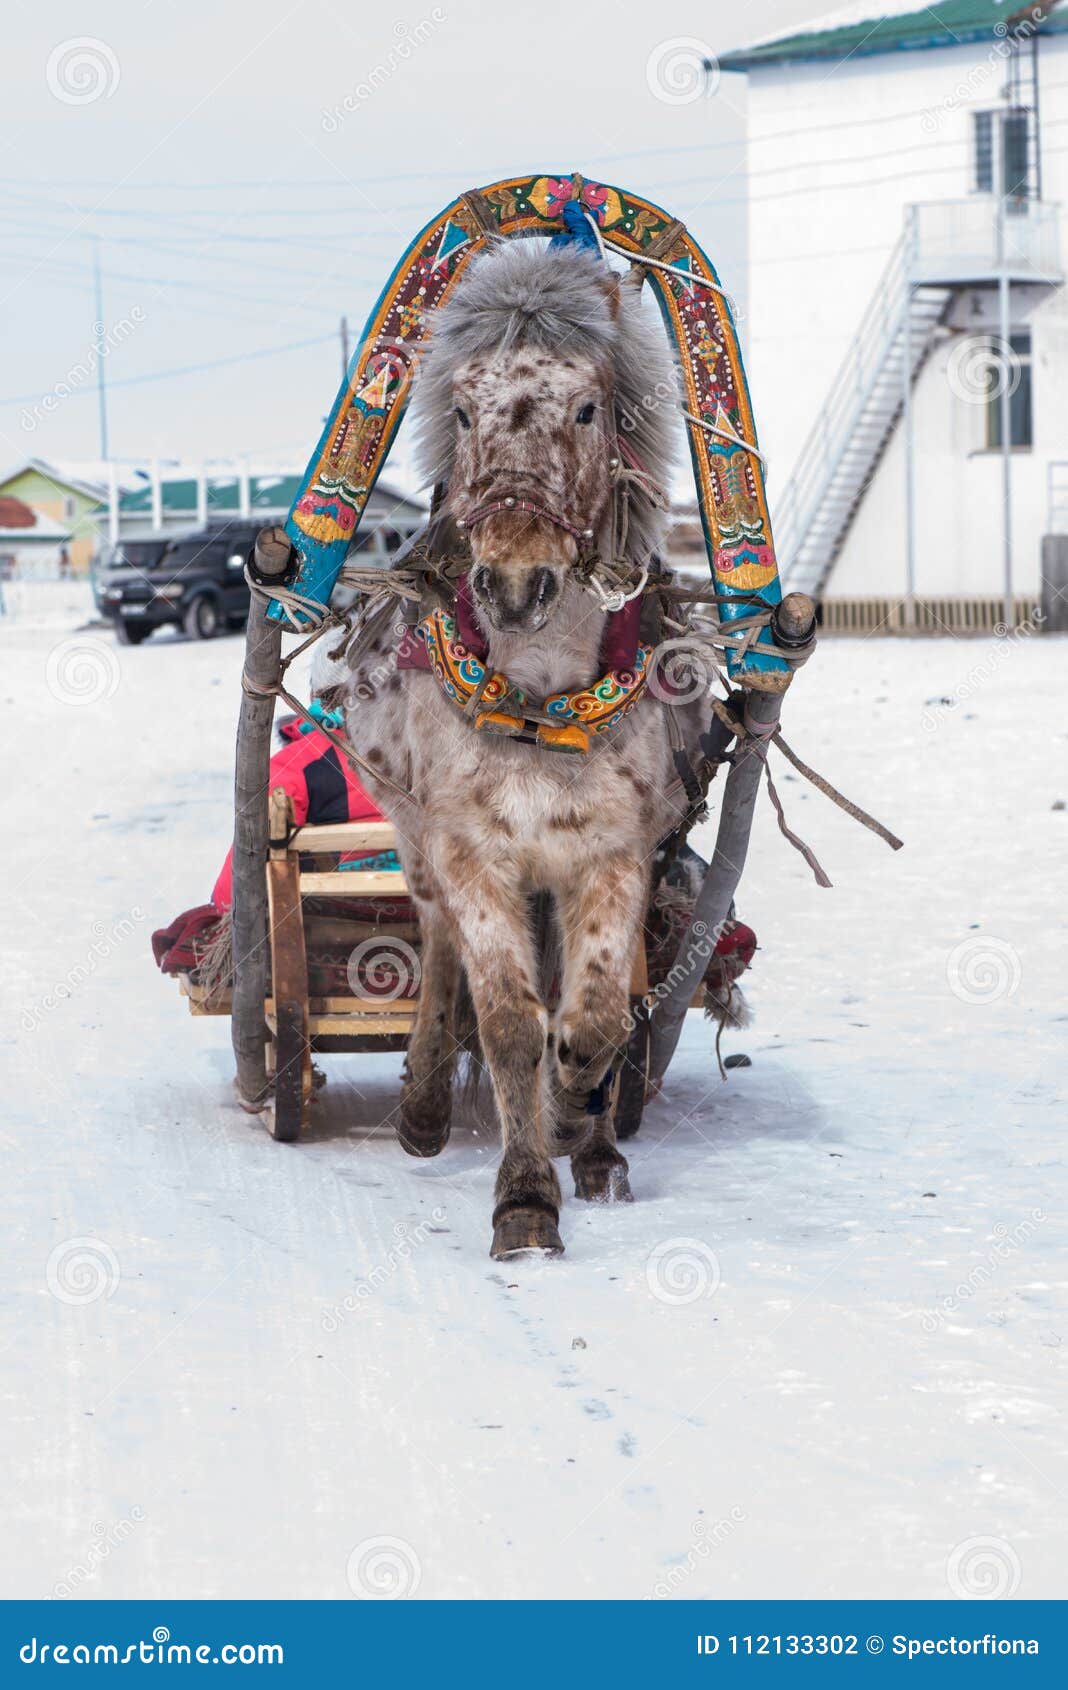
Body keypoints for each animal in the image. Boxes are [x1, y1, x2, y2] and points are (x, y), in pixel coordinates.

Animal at [341, 237, 706, 1259]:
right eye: (464, 410)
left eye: (586, 410)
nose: (513, 584)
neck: (543, 702)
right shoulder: (475, 853)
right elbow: (508, 1019)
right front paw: (525, 1201)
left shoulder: (614, 854)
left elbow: (591, 1017)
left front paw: (581, 1117)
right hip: (417, 841)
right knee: (437, 944)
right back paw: (425, 1110)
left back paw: (597, 1143)